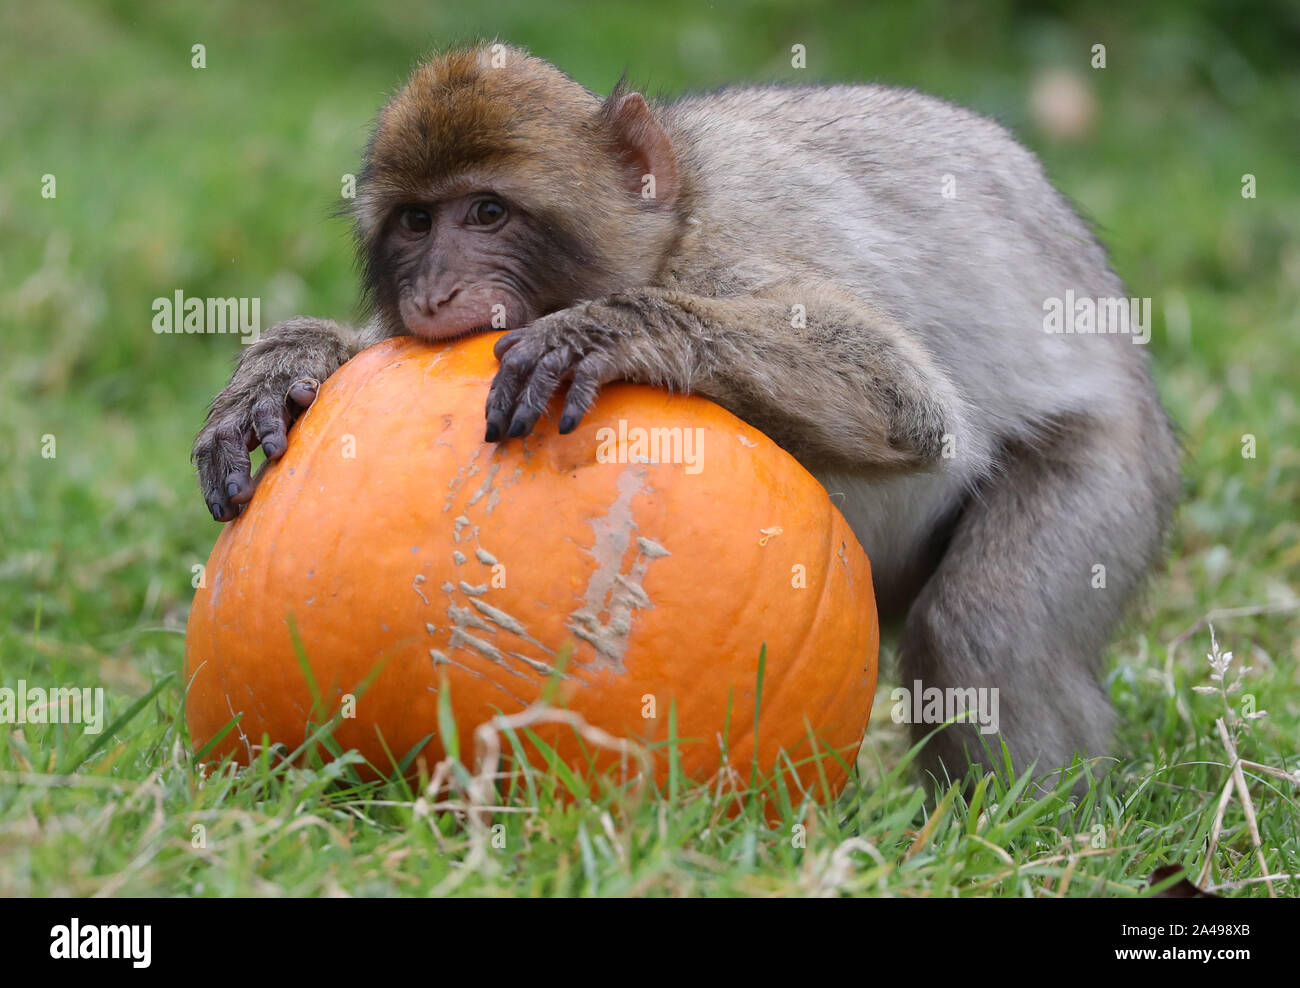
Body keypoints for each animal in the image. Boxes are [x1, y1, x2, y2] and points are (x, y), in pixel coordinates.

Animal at [189, 44, 1180, 785]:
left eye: (487, 211)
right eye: (415, 223)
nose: (433, 294)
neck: (667, 232)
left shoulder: (732, 258)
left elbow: (907, 405)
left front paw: (612, 332)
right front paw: (291, 364)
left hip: (1116, 473)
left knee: (983, 631)